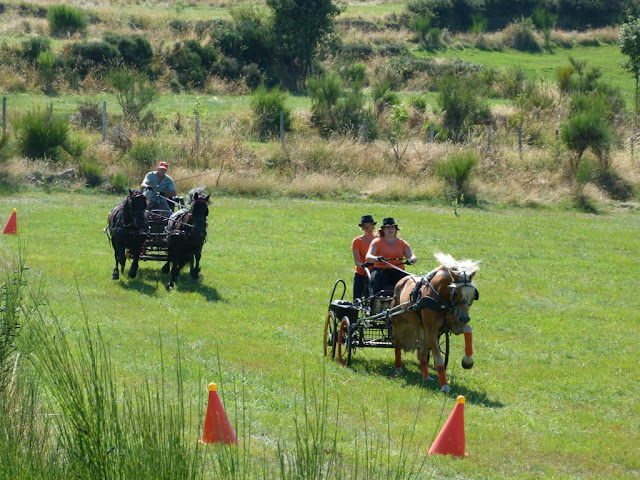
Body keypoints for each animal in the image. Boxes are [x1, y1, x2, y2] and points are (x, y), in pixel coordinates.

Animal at [390, 253, 480, 392]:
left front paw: (468, 362)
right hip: (399, 321)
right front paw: (444, 386)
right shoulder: (432, 329)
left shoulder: (452, 326)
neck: (440, 300)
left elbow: (468, 329)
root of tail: (402, 280)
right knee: (398, 343)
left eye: (472, 294)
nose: (464, 318)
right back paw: (398, 367)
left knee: (421, 353)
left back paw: (426, 376)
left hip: (423, 329)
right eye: (455, 293)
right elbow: (438, 359)